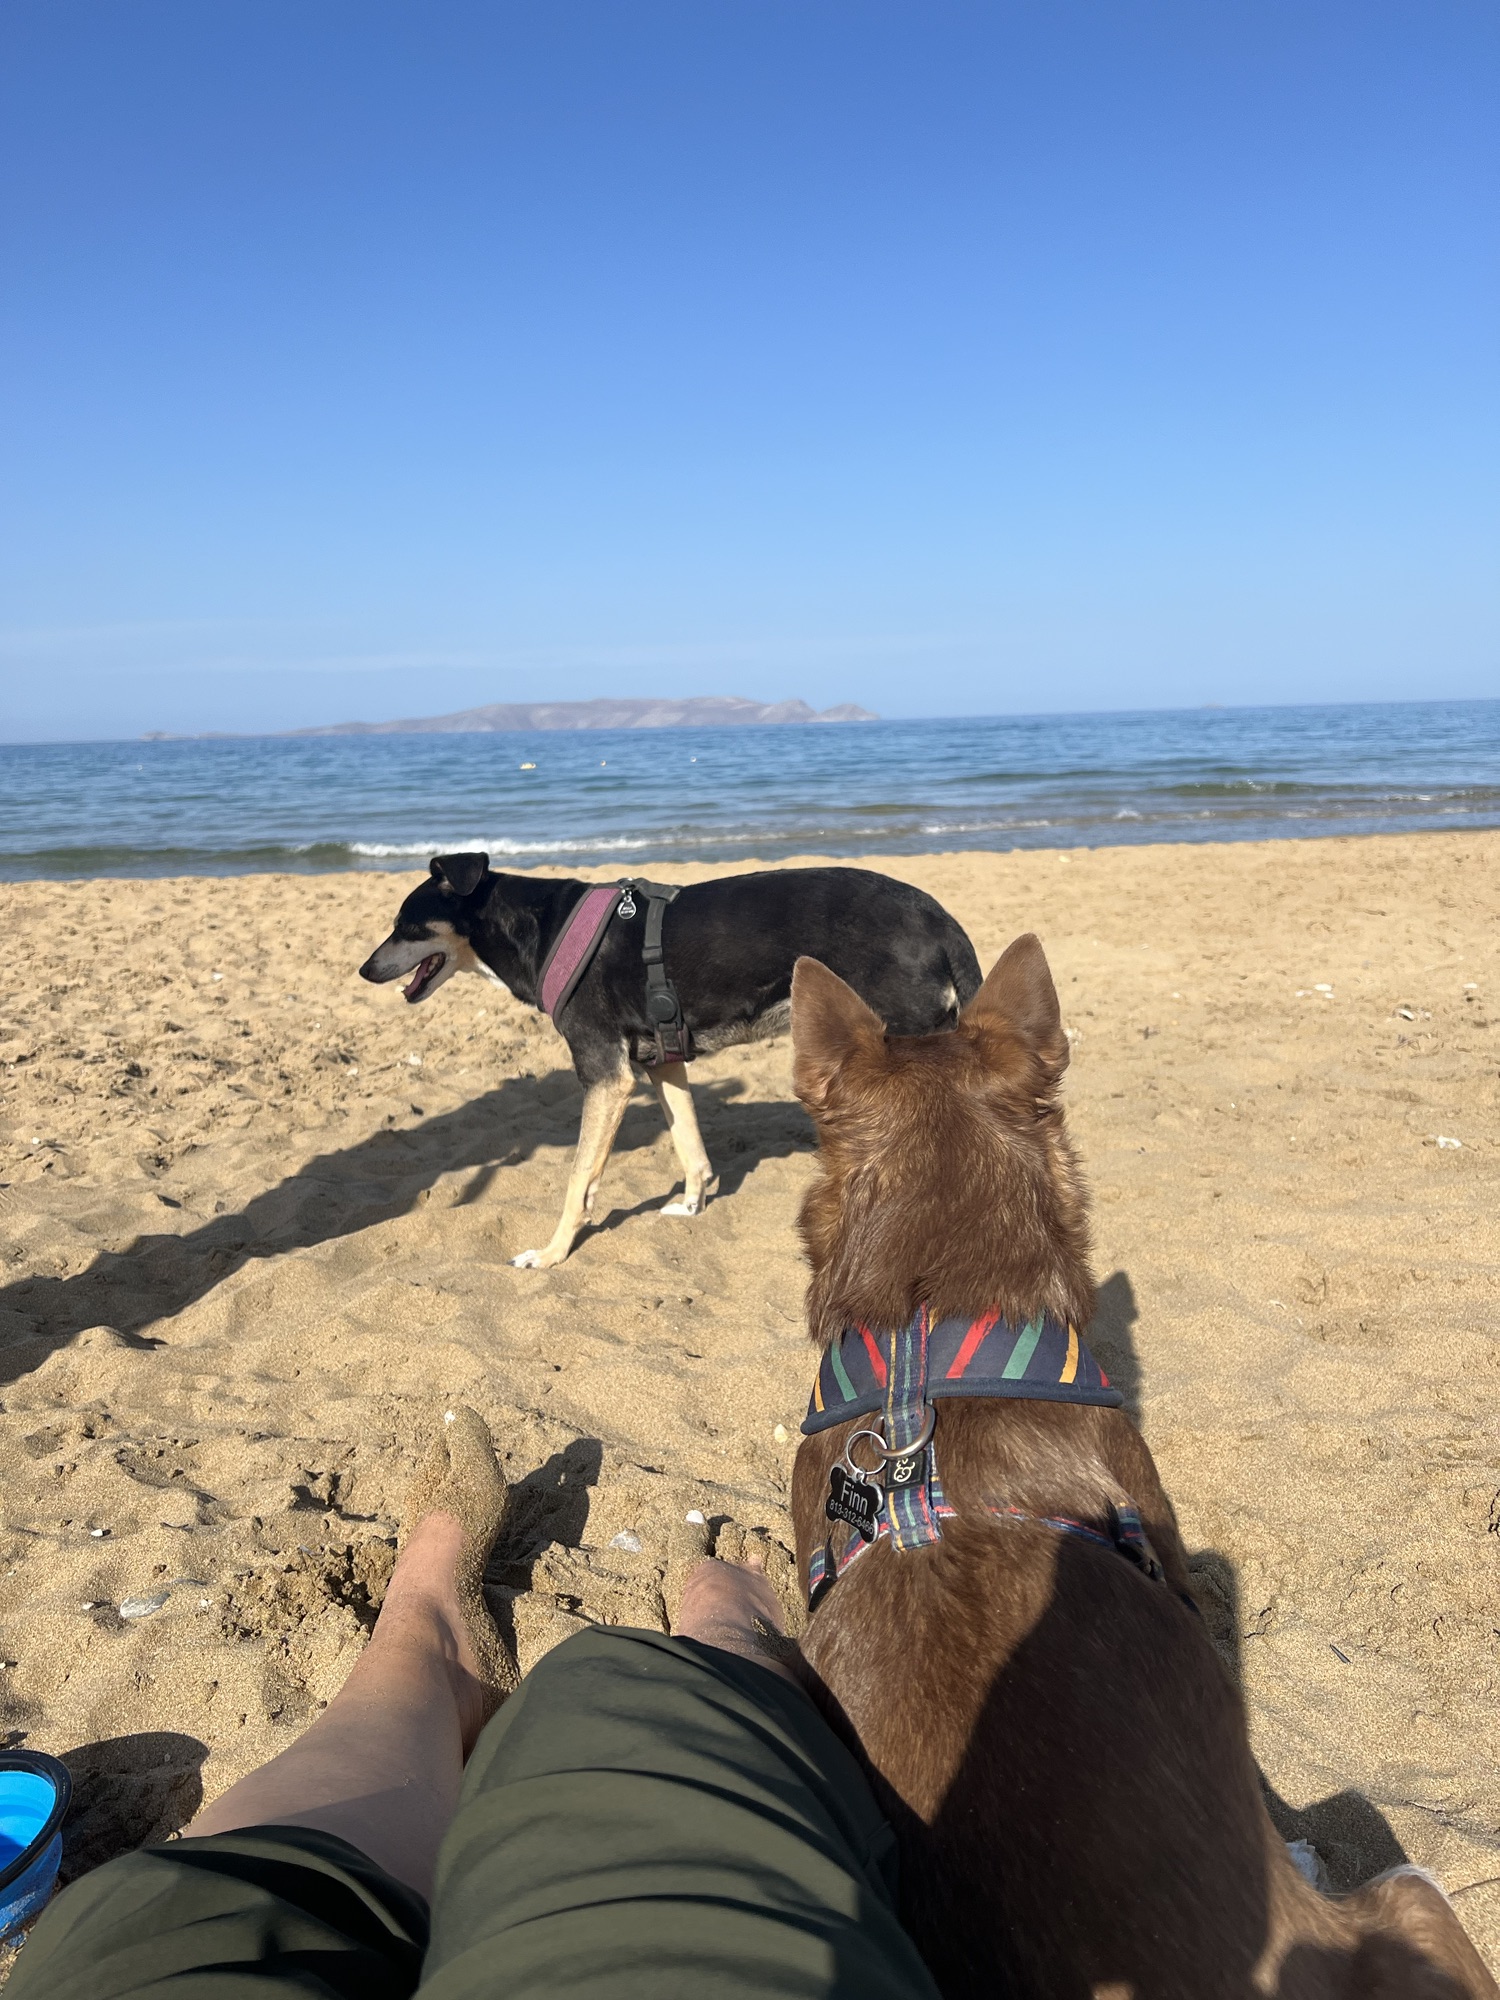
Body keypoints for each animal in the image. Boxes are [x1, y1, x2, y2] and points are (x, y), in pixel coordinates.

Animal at [358, 853, 981, 1268]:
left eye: (405, 926)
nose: (364, 970)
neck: (540, 928)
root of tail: (943, 923)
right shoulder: (661, 1062)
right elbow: (689, 1142)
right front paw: (691, 1204)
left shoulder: (605, 1076)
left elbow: (579, 1178)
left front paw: (553, 1253)